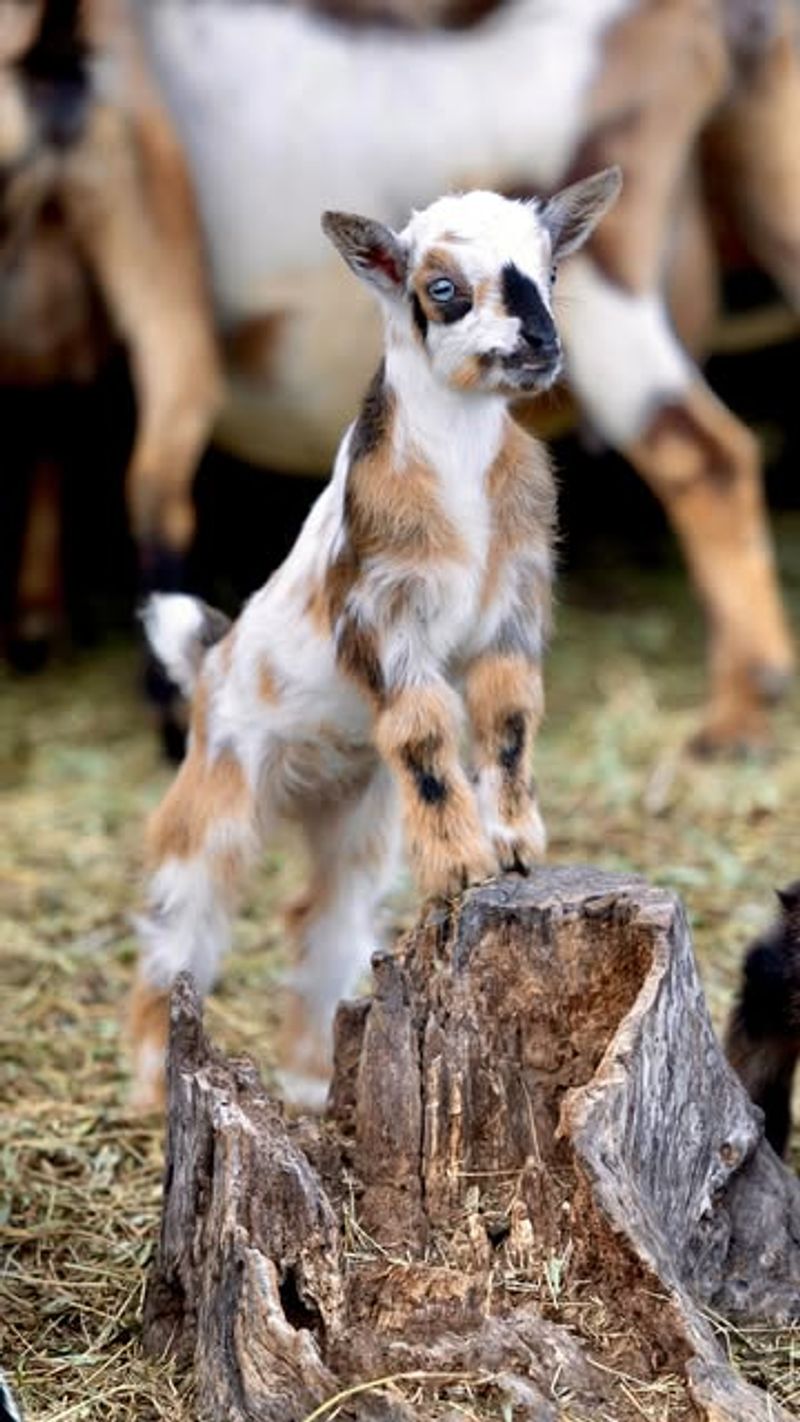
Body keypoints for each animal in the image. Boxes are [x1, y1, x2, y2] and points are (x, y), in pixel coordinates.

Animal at [128, 171, 621, 1110]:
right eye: (444, 288)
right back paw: (145, 1089)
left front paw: (512, 848)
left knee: (322, 921)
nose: (541, 345)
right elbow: (427, 738)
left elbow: (507, 724)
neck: (456, 476)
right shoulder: (389, 625)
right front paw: (463, 866)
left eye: (549, 269)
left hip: (354, 810)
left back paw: (310, 1083)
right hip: (221, 781)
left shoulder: (509, 614)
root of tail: (211, 658)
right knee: (182, 917)